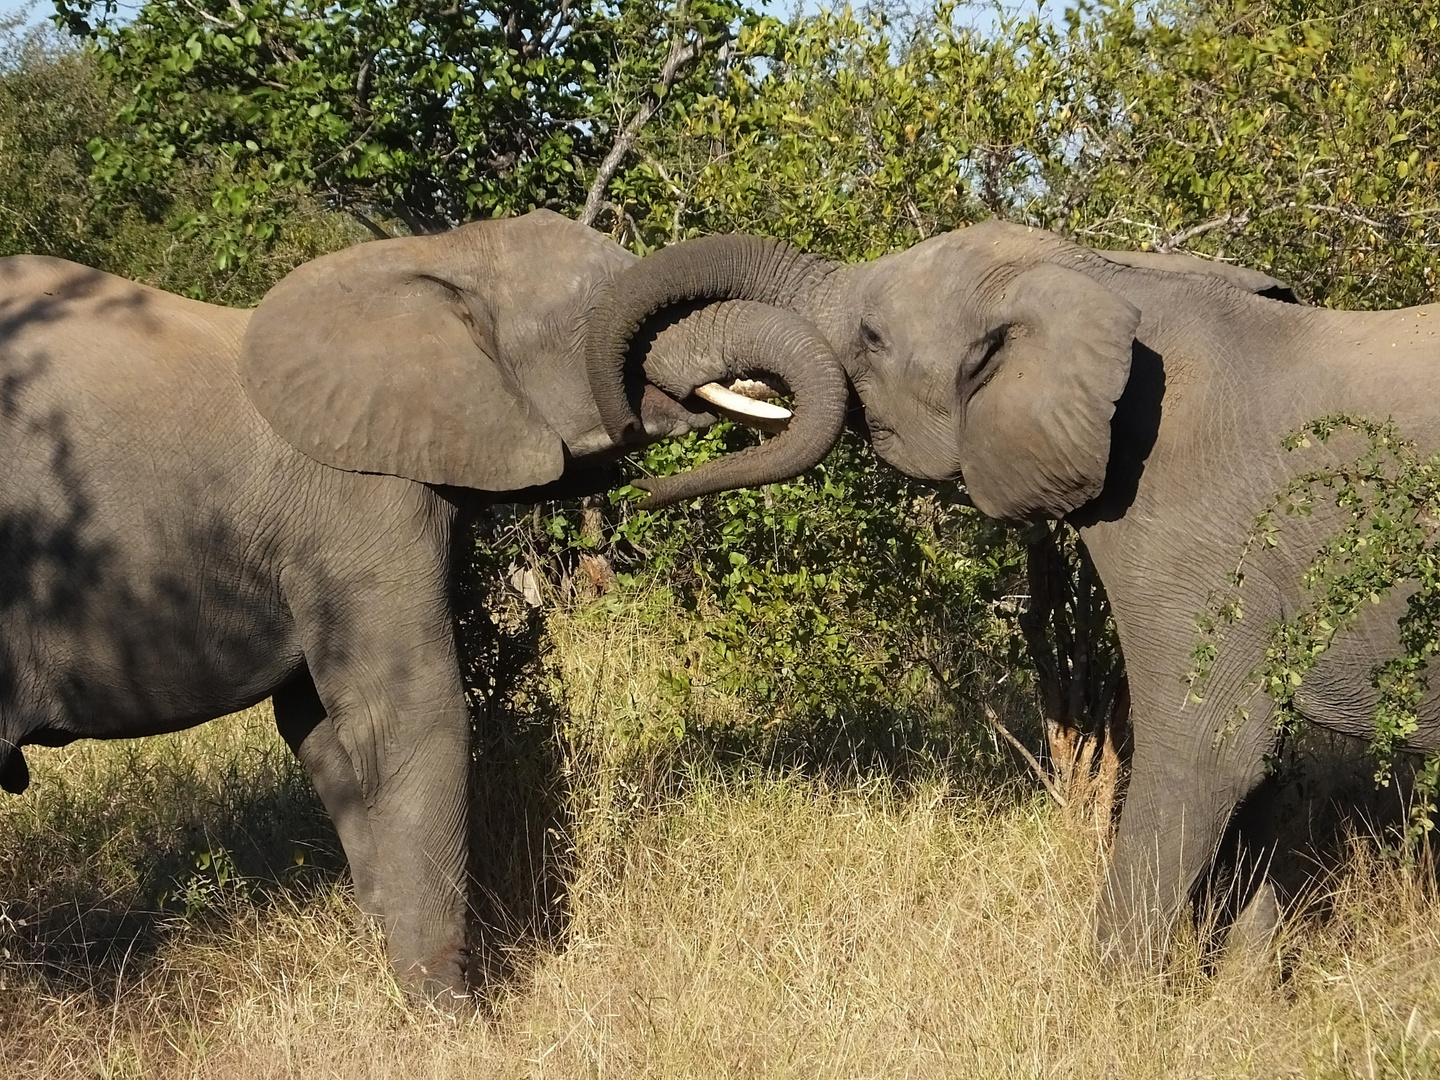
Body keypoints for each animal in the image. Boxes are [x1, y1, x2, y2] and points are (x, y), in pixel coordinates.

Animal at [0, 207, 840, 1002]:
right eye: (599, 305)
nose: (645, 492)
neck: (436, 257)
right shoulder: (358, 500)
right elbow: (411, 712)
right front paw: (455, 1017)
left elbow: (324, 735)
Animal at [584, 224, 1440, 967]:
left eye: (871, 337)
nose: (631, 482)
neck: (1106, 280)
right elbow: (1260, 772)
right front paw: (1240, 998)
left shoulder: (1189, 521)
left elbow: (1209, 753)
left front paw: (1113, 1009)